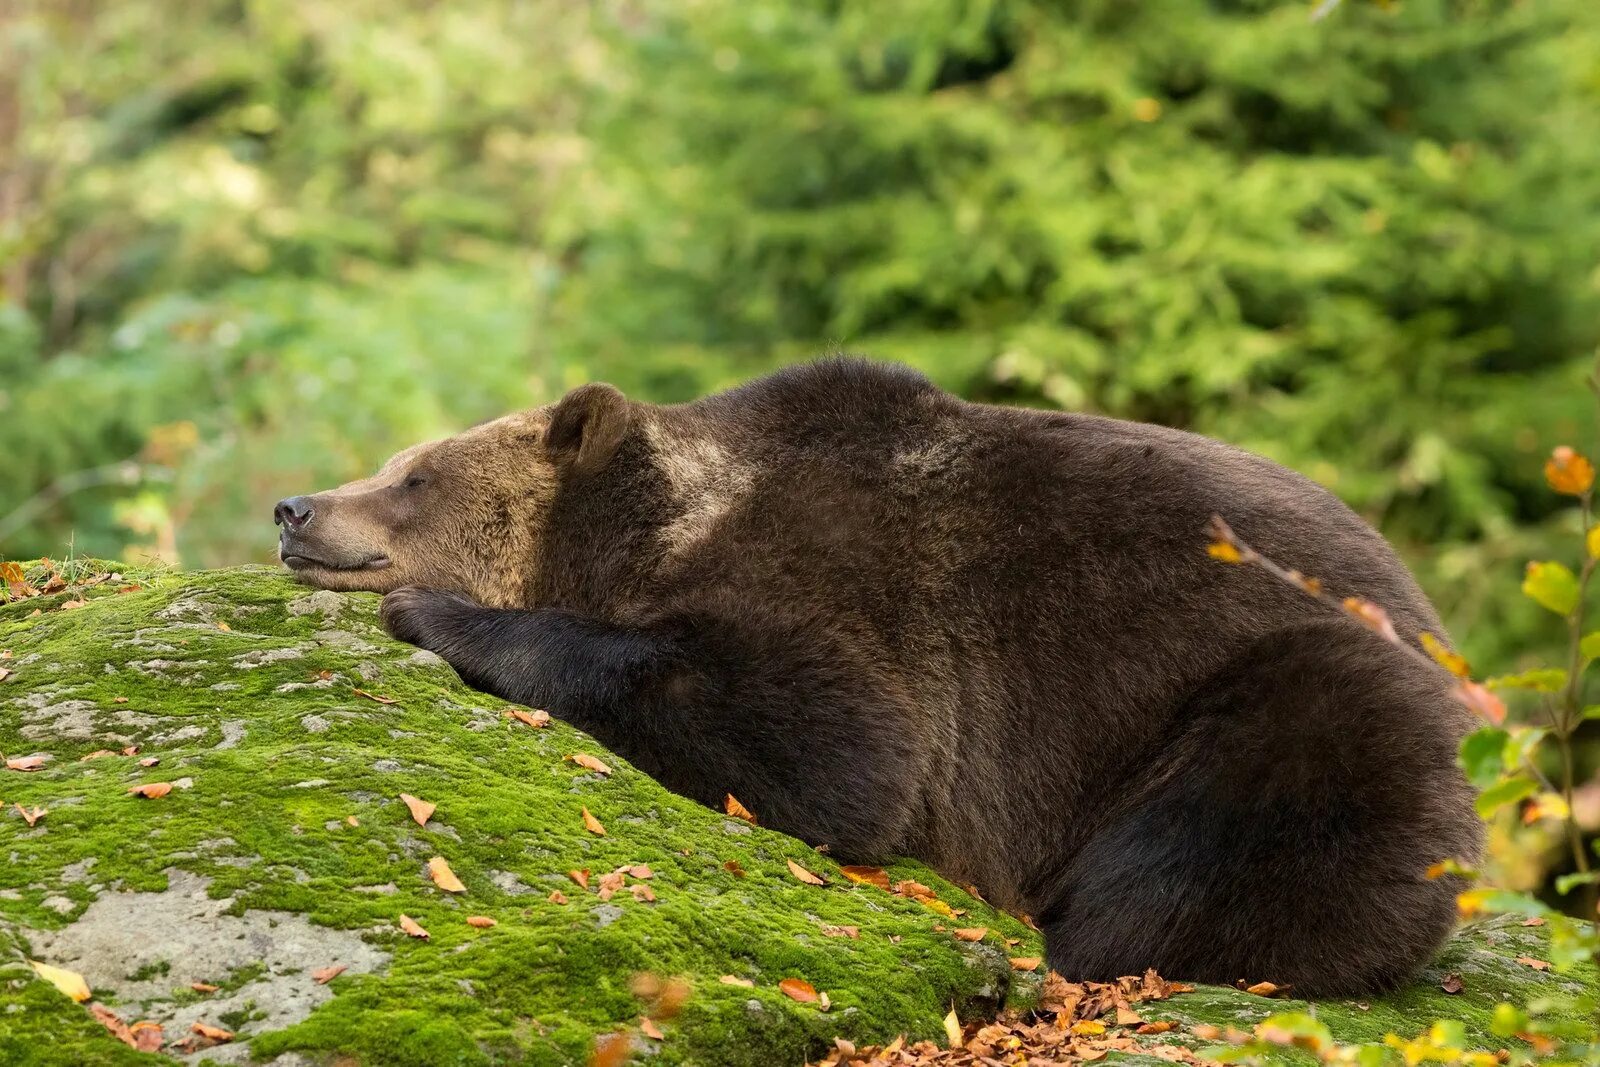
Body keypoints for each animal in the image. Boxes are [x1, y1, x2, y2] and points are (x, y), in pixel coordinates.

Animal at [278, 361, 1484, 1004]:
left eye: (414, 476)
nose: (296, 506)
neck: (655, 529)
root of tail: (1439, 629)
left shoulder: (851, 582)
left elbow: (834, 742)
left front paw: (435, 613)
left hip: (1295, 694)